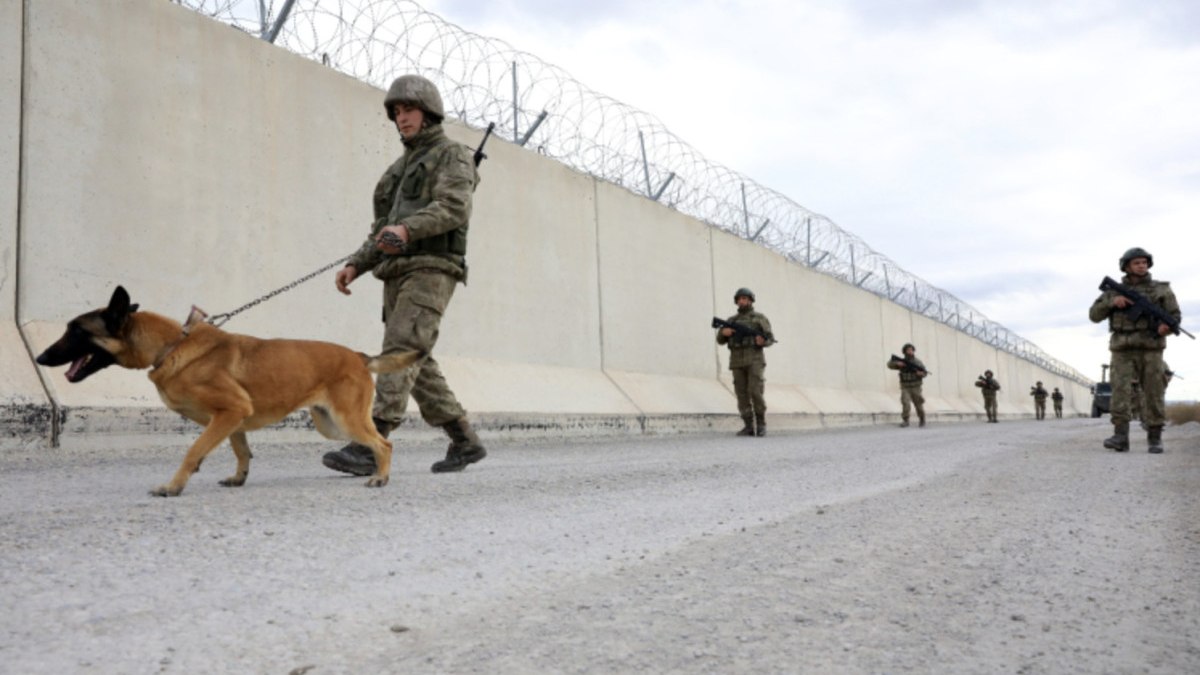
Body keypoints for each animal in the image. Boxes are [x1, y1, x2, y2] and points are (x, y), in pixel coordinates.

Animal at [37, 283, 424, 494]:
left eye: (76, 331)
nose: (39, 357)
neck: (172, 347)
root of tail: (359, 356)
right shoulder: (233, 418)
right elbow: (241, 452)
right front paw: (239, 478)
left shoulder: (230, 411)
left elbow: (193, 450)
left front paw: (173, 486)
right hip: (329, 425)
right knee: (376, 441)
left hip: (344, 420)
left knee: (384, 443)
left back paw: (380, 478)